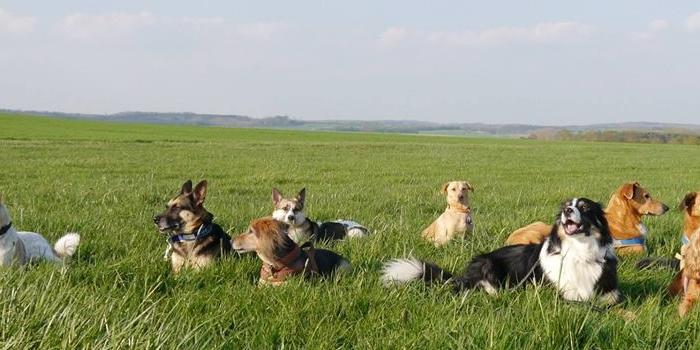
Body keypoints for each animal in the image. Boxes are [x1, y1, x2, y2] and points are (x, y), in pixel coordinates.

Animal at [386, 198, 620, 304]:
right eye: (566, 205)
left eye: (585, 207)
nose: (566, 210)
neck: (579, 252)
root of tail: (461, 276)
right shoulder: (558, 293)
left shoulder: (610, 294)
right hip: (487, 263)